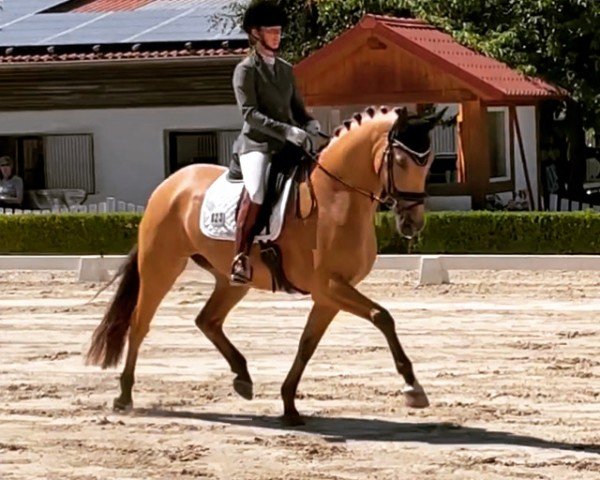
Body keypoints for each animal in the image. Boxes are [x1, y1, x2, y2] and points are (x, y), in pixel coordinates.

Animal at [86, 104, 446, 424]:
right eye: (400, 160)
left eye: (428, 162)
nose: (413, 223)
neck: (336, 196)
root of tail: (170, 184)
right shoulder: (330, 286)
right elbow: (382, 317)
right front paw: (413, 388)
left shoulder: (329, 295)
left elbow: (307, 345)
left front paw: (289, 406)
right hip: (161, 265)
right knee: (139, 323)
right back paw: (124, 397)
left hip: (230, 279)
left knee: (207, 320)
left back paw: (242, 377)